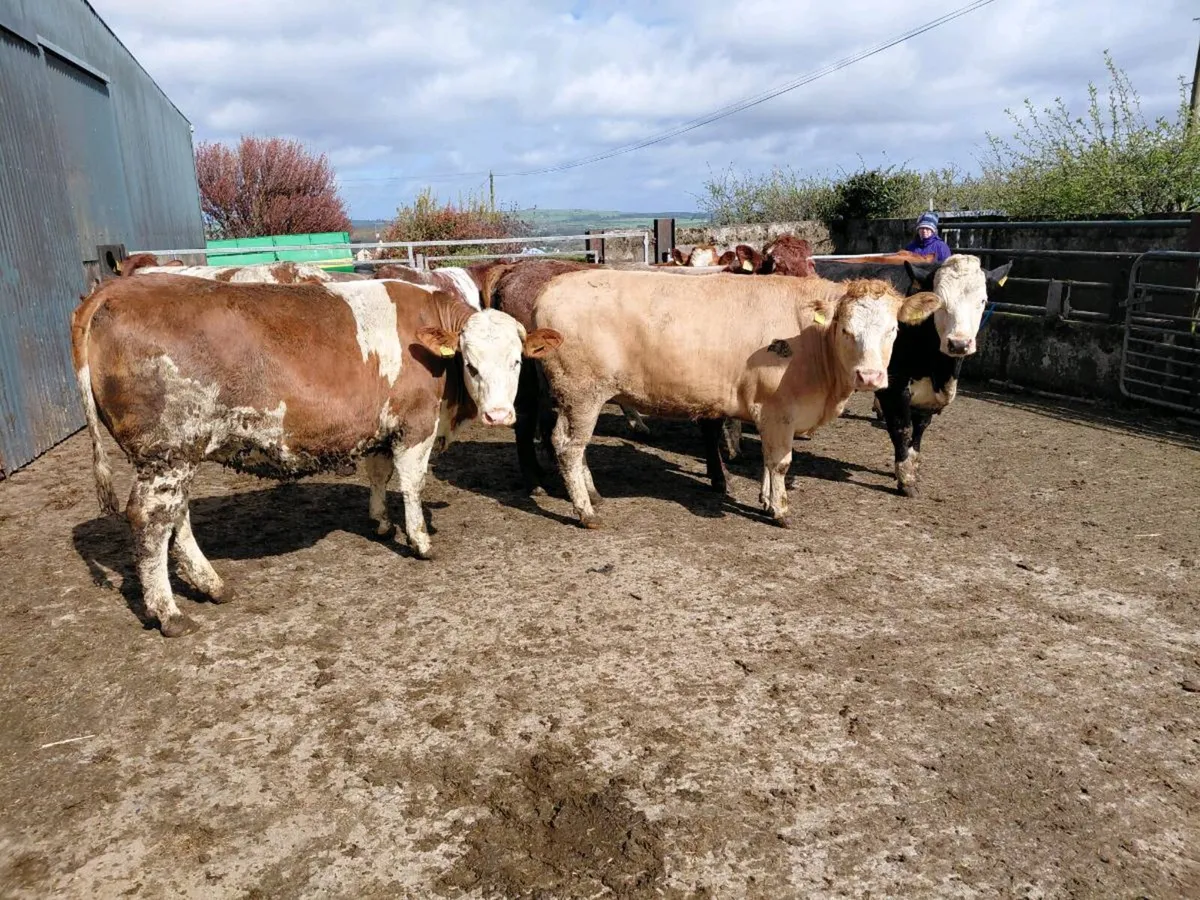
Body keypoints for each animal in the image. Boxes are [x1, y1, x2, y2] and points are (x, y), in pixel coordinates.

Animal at [71, 275, 562, 636]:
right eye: (471, 363)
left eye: (518, 361)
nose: (499, 415)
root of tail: (111, 290)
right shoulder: (415, 426)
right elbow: (412, 483)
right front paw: (419, 540)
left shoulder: (378, 428)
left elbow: (379, 475)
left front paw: (380, 522)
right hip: (167, 453)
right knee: (151, 522)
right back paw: (168, 613)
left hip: (179, 454)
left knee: (177, 517)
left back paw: (211, 585)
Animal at [526, 269, 942, 527]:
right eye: (845, 329)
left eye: (893, 330)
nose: (870, 376)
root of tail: (552, 286)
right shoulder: (778, 408)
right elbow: (780, 463)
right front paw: (781, 510)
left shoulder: (770, 413)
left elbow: (767, 460)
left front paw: (765, 499)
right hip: (582, 393)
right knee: (569, 447)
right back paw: (586, 512)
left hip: (571, 396)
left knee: (569, 444)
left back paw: (593, 494)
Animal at [812, 254, 1012, 496]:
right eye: (940, 303)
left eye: (982, 301)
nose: (959, 343)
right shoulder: (892, 386)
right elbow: (902, 428)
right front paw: (905, 478)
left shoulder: (926, 397)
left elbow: (919, 429)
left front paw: (911, 465)